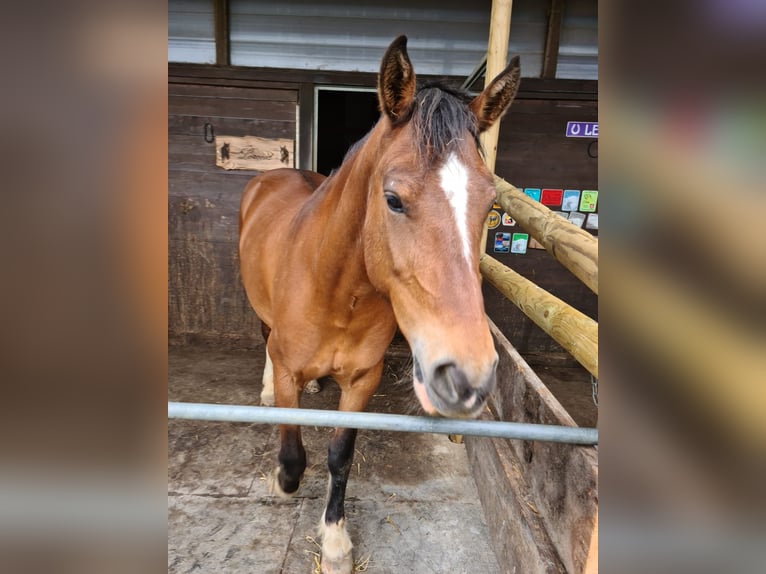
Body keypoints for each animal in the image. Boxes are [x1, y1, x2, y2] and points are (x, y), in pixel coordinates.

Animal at [238, 36, 520, 574]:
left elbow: (340, 456)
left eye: (490, 205)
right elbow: (293, 456)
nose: (468, 374)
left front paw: (335, 542)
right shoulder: (288, 370)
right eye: (392, 199)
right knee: (262, 340)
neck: (336, 293)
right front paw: (279, 484)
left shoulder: (363, 381)